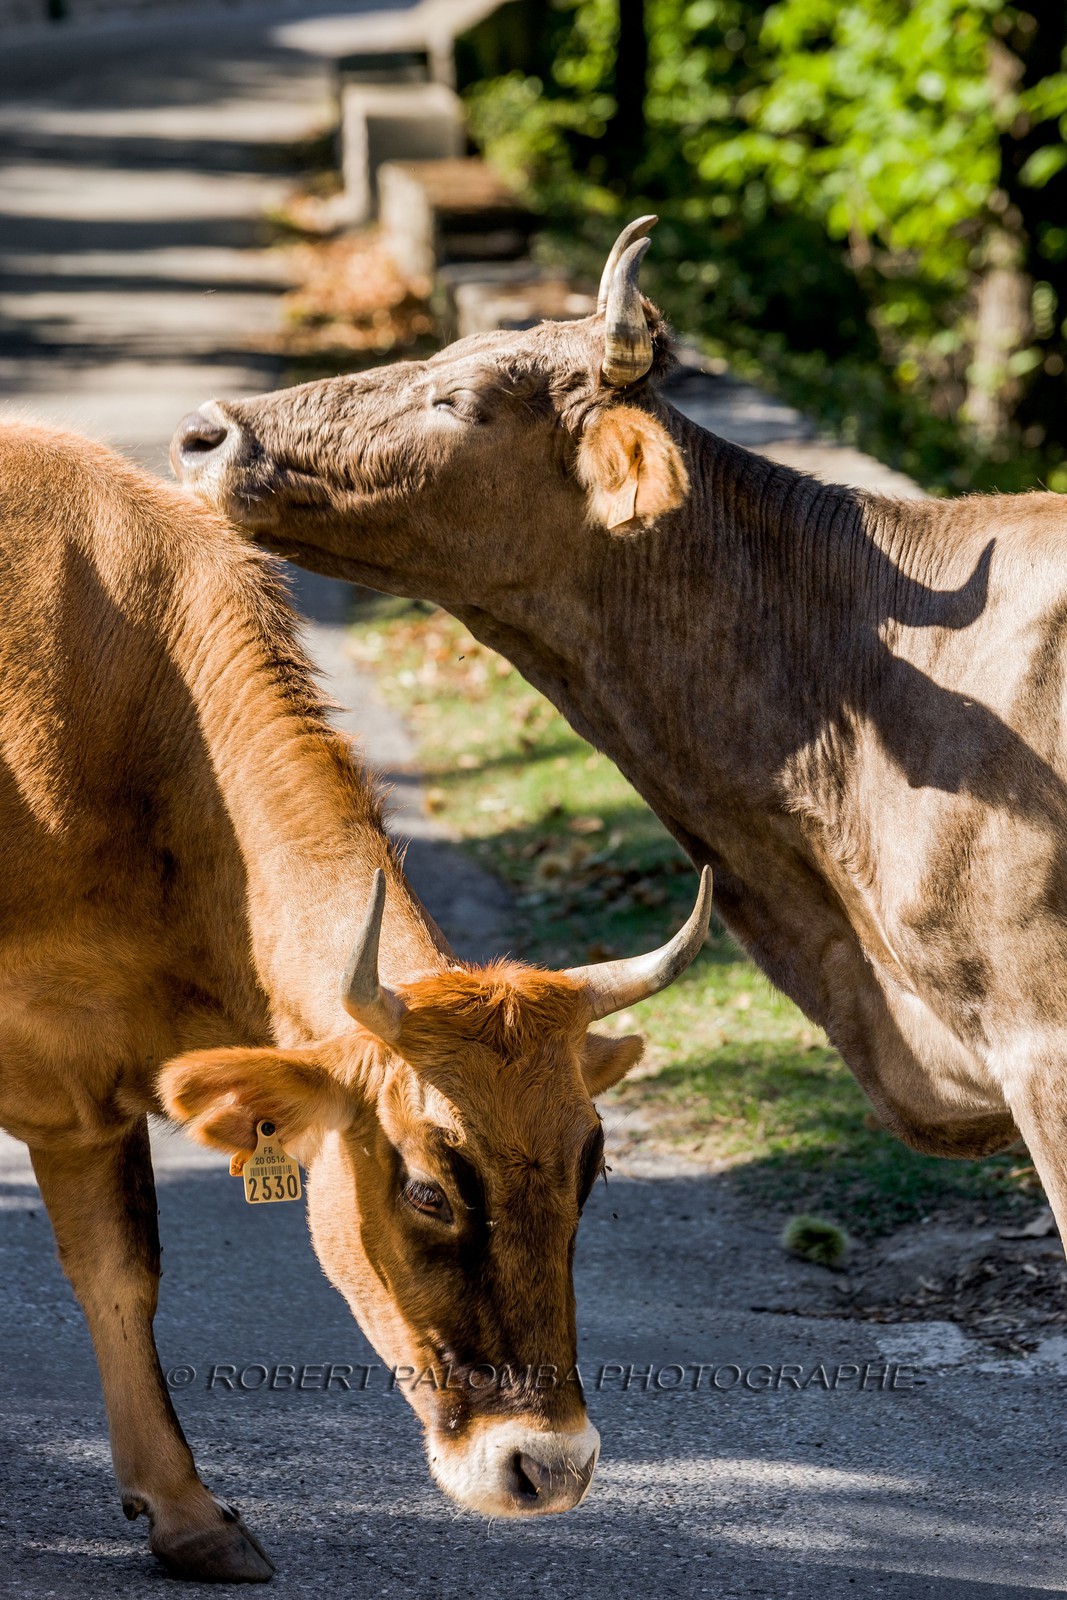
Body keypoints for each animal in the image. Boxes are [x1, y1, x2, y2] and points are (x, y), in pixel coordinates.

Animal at [0, 420, 710, 1583]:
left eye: (591, 1169)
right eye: (426, 1187)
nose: (547, 1466)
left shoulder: (81, 1083)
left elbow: (121, 1272)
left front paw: (186, 1514)